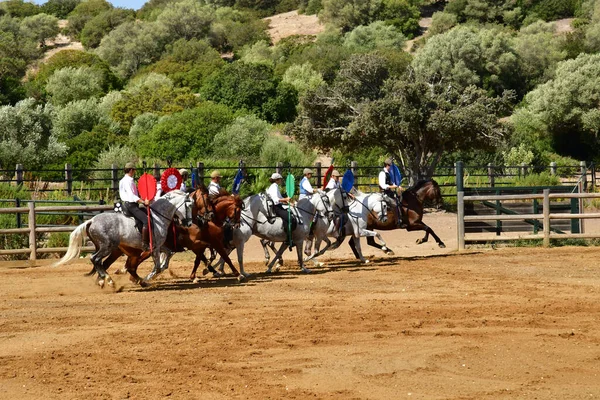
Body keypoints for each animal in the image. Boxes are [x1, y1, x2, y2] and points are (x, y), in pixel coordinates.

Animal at [52, 191, 192, 288]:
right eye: (189, 205)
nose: (189, 223)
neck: (157, 217)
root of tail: (91, 220)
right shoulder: (155, 248)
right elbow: (157, 267)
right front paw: (144, 280)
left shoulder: (158, 246)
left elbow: (168, 255)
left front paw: (144, 279)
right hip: (107, 247)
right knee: (95, 259)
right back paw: (109, 281)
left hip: (105, 247)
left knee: (100, 262)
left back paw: (103, 280)